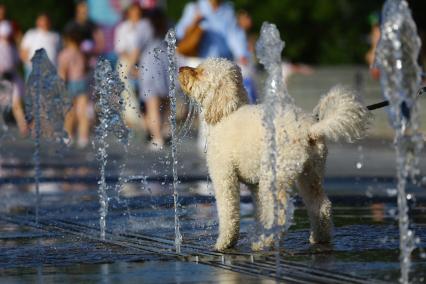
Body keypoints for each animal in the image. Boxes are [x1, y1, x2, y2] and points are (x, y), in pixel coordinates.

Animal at [178, 57, 368, 251]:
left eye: (200, 72)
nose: (180, 69)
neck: (226, 114)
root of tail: (309, 130)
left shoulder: (224, 176)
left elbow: (229, 213)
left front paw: (224, 244)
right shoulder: (255, 185)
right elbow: (261, 213)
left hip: (275, 176)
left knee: (282, 214)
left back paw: (263, 243)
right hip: (310, 174)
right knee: (321, 206)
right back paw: (318, 239)